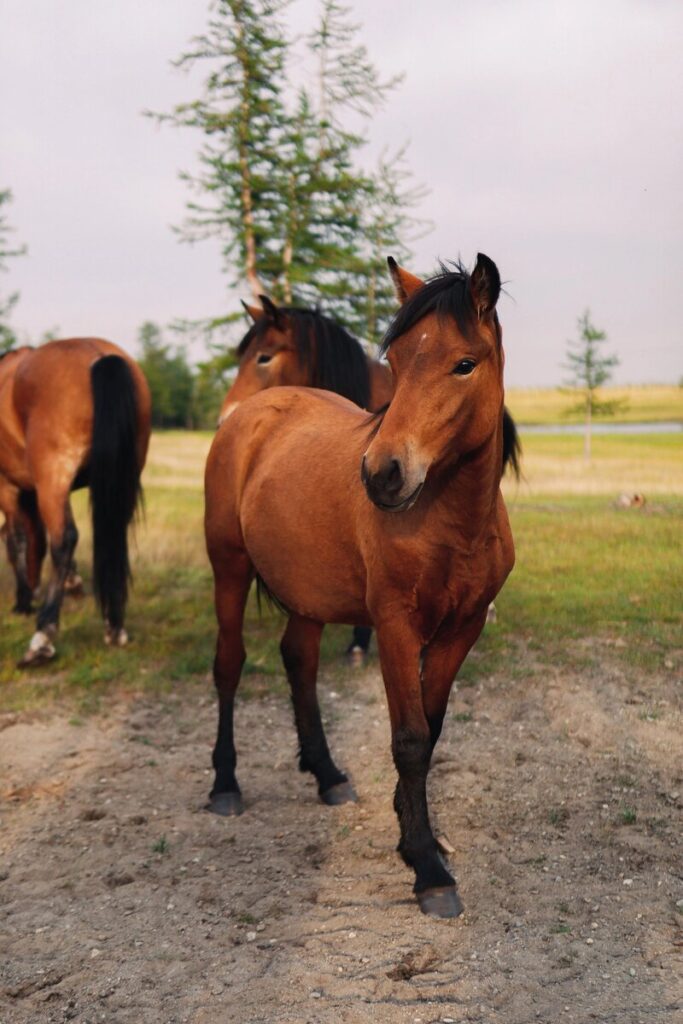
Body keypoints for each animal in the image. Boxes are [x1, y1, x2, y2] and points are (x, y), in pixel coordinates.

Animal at [0, 339, 150, 667]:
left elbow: (16, 539)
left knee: (64, 539)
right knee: (110, 536)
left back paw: (42, 638)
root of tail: (99, 356)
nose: (33, 591)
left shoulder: (9, 488)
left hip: (53, 478)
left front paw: (23, 600)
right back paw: (114, 626)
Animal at [202, 251, 518, 917]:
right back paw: (225, 784)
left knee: (298, 659)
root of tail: (247, 416)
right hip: (230, 569)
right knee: (229, 665)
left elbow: (431, 730)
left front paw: (415, 835)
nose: (382, 474)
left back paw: (327, 775)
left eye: (464, 363)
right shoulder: (396, 627)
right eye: (394, 362)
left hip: (308, 593)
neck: (452, 521)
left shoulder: (462, 629)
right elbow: (409, 739)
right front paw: (427, 868)